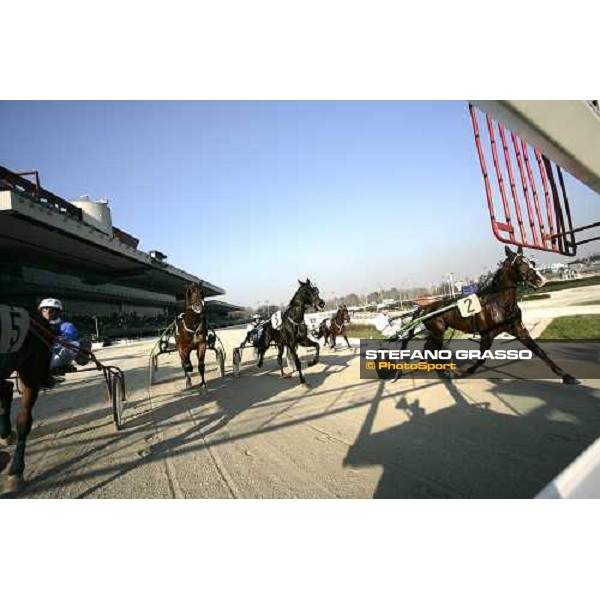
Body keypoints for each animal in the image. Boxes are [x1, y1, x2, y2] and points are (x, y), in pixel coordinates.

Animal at [398, 247, 580, 384]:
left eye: (532, 262)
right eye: (519, 264)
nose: (541, 280)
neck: (500, 304)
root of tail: (425, 308)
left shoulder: (518, 329)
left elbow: (539, 351)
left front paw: (567, 376)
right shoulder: (487, 334)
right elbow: (481, 359)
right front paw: (465, 371)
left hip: (436, 331)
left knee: (428, 347)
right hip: (438, 331)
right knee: (432, 348)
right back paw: (444, 370)